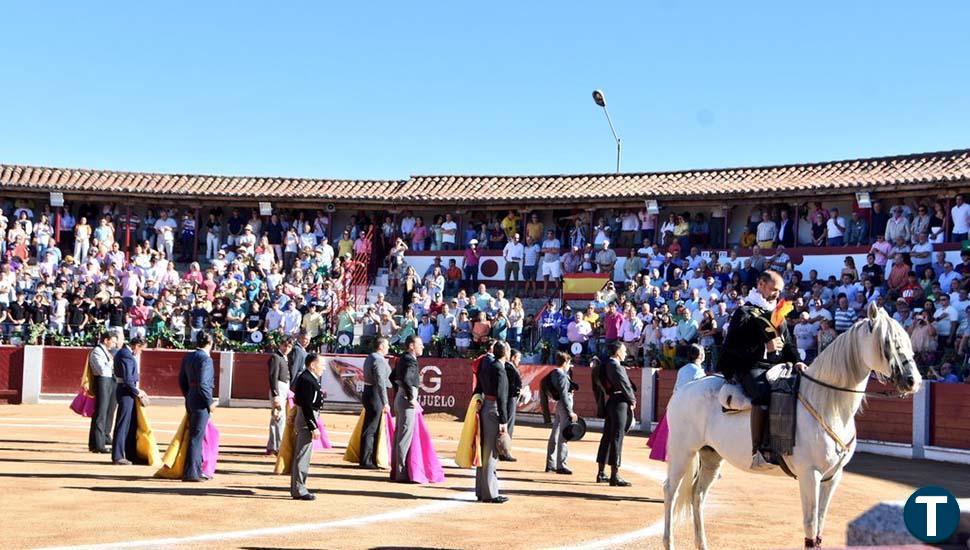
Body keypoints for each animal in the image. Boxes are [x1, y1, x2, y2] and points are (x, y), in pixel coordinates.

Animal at [660, 304, 920, 548]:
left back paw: (702, 544)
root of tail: (685, 388)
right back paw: (669, 542)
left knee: (697, 495)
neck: (825, 402)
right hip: (683, 451)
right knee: (671, 490)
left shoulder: (833, 476)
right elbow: (810, 525)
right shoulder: (809, 474)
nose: (913, 381)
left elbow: (820, 524)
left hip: (711, 455)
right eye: (887, 342)